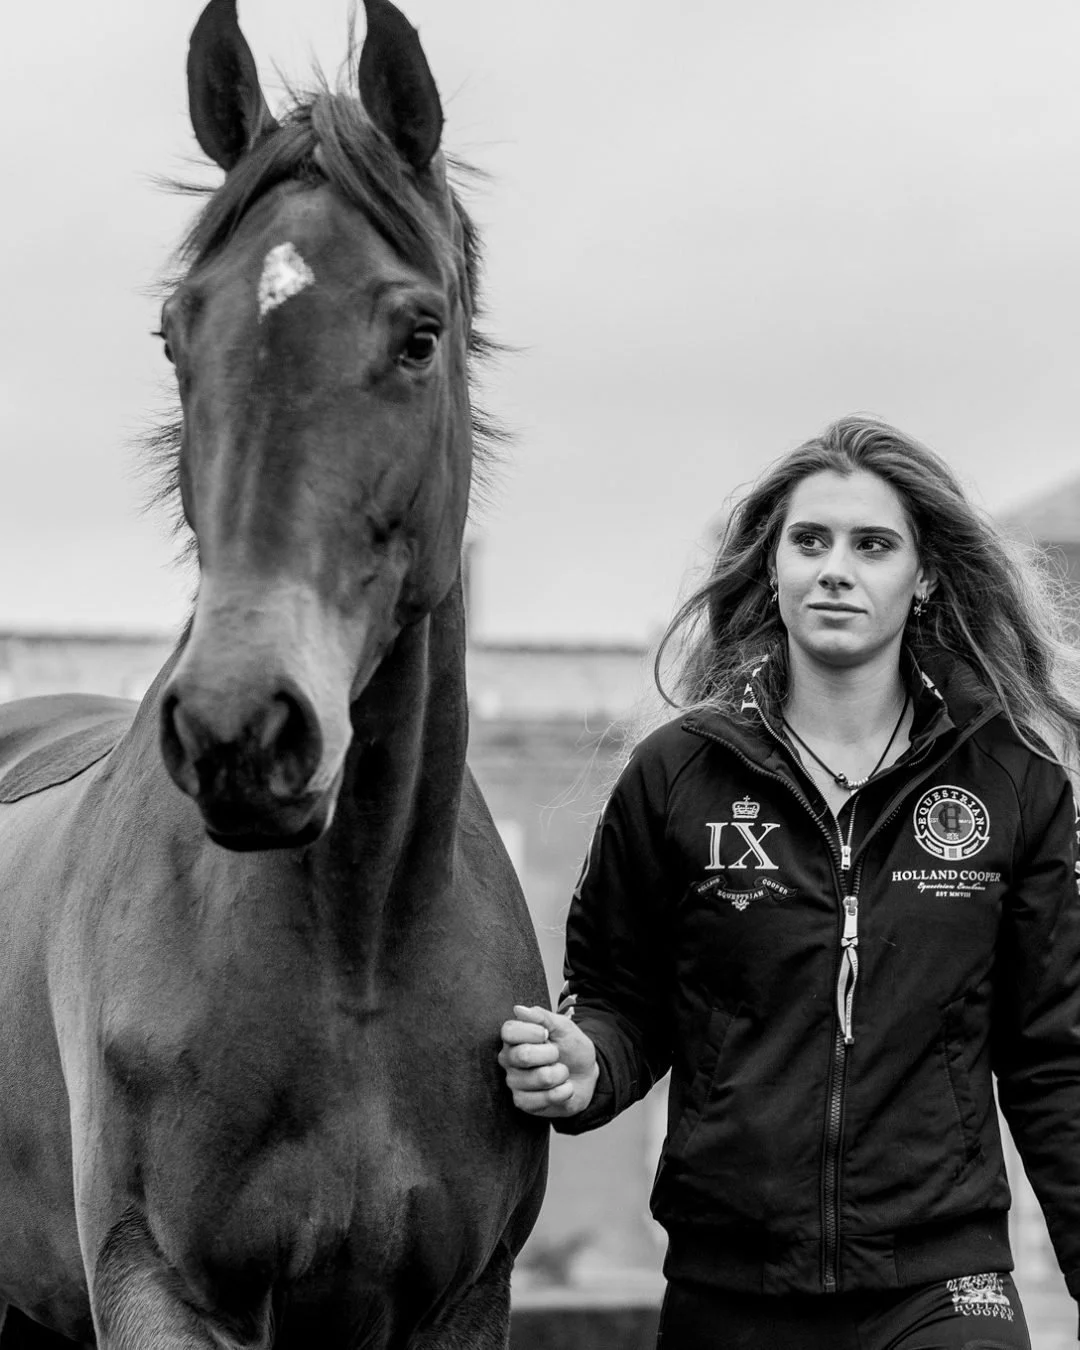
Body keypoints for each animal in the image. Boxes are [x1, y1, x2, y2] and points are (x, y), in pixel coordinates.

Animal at [0, 1, 549, 1344]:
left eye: (419, 335)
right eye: (174, 334)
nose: (239, 730)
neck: (358, 949)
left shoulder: (464, 1301)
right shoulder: (151, 1282)